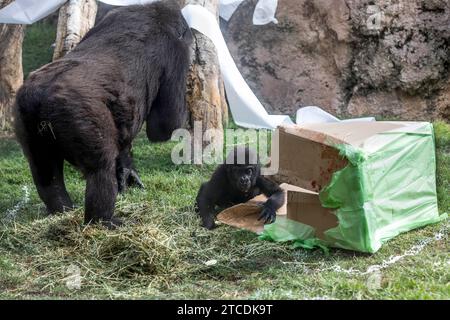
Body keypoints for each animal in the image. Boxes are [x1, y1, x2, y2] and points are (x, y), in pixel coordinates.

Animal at [14, 1, 192, 229]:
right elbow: (165, 125)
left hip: (25, 115)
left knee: (43, 168)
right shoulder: (176, 49)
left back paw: (61, 209)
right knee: (100, 167)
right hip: (75, 112)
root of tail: (40, 94)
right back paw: (103, 220)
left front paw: (127, 168)